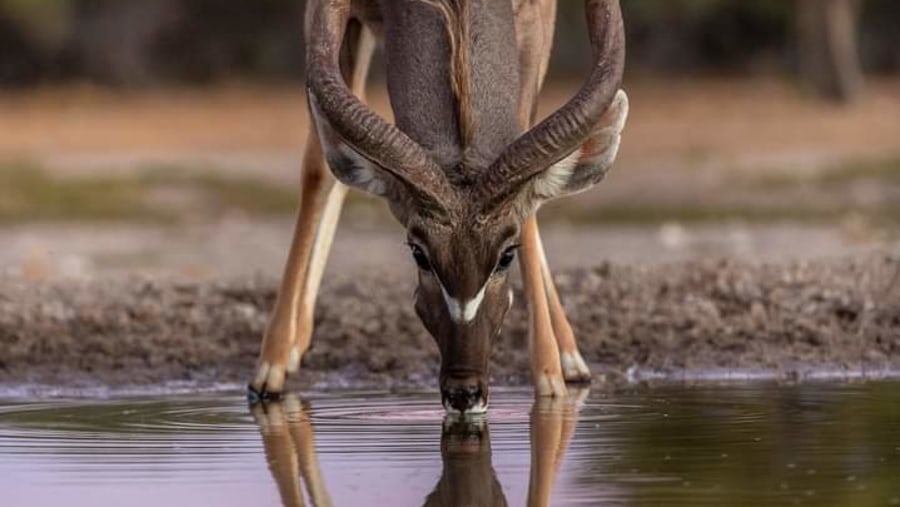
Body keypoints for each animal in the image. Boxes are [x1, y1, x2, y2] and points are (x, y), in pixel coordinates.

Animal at [246, 0, 624, 412]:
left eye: (507, 255)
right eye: (419, 254)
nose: (464, 391)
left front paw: (550, 378)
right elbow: (318, 166)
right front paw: (270, 367)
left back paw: (571, 358)